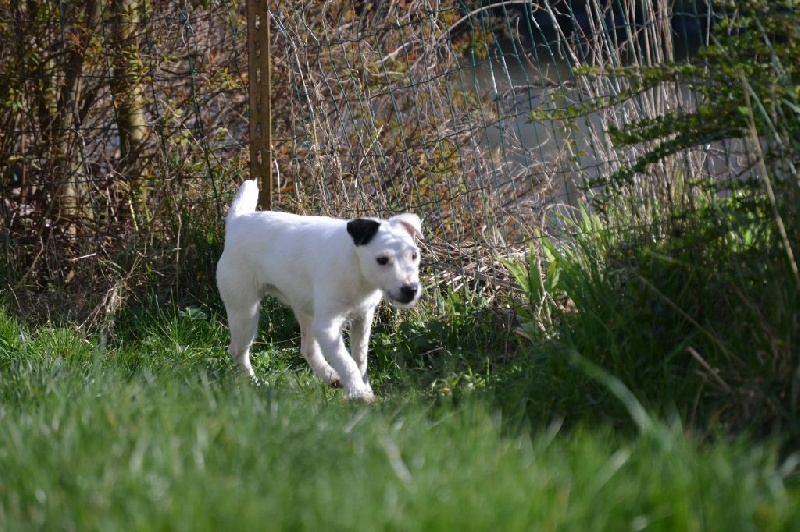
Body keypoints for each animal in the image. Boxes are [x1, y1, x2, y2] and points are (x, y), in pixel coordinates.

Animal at [216, 180, 423, 401]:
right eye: (382, 260)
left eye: (414, 255)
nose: (410, 290)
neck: (355, 267)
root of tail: (237, 221)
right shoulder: (327, 327)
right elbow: (346, 361)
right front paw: (359, 392)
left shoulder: (362, 318)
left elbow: (359, 359)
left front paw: (363, 386)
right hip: (244, 312)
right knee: (237, 350)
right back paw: (254, 383)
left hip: (304, 309)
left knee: (308, 348)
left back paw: (329, 376)